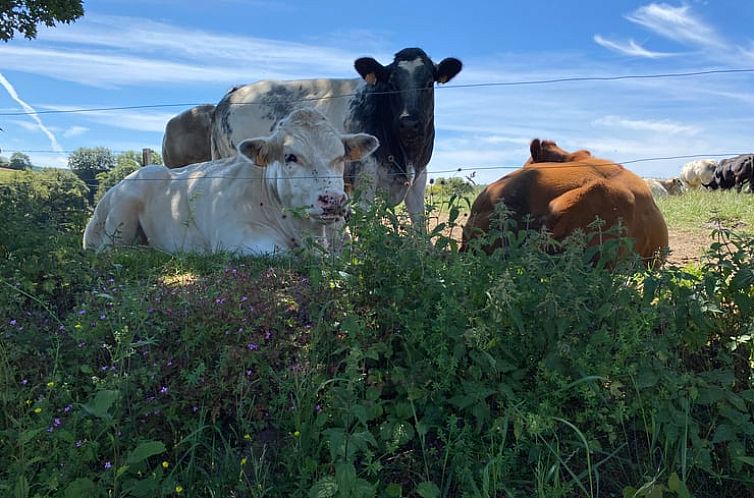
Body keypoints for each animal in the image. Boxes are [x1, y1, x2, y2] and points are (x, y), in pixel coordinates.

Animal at [83, 109, 378, 256]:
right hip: (122, 213)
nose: (333, 200)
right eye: (290, 157)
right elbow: (280, 253)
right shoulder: (236, 238)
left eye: (340, 157)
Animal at [209, 46, 462, 226]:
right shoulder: (364, 179)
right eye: (391, 84)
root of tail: (232, 94)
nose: (408, 122)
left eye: (428, 83)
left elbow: (420, 228)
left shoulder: (419, 178)